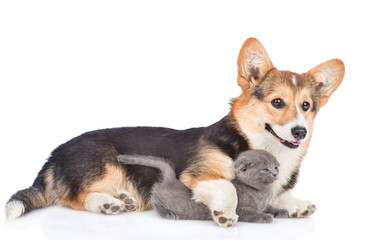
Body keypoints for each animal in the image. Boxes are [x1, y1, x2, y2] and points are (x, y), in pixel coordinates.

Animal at [117, 150, 288, 223]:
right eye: (265, 169)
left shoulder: (264, 204)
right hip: (162, 199)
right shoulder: (241, 209)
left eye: (276, 167)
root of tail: (171, 178)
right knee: (157, 201)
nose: (275, 174)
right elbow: (253, 214)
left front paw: (281, 211)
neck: (262, 192)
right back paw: (170, 214)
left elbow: (269, 207)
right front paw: (265, 217)